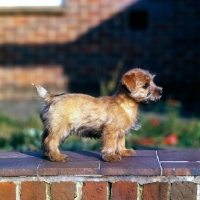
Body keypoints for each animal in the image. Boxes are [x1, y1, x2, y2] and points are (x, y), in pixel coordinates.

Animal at [32, 68, 161, 162]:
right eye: (145, 86)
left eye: (153, 82)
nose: (161, 91)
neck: (125, 104)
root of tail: (52, 98)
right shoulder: (111, 131)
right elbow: (111, 144)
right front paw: (110, 156)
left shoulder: (120, 131)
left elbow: (120, 142)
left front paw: (124, 151)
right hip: (60, 128)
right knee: (50, 141)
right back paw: (57, 156)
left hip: (51, 127)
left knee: (44, 139)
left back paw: (48, 155)